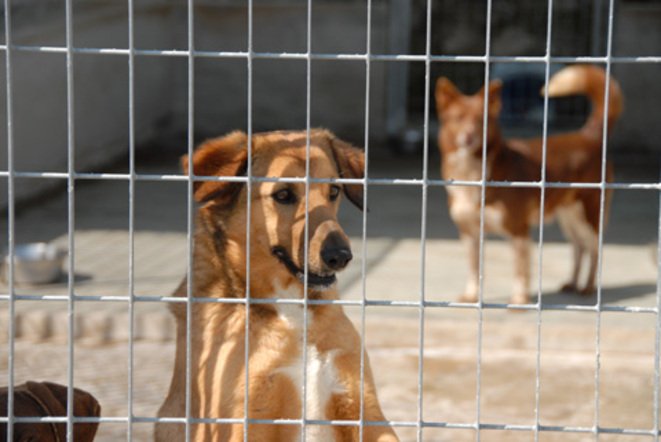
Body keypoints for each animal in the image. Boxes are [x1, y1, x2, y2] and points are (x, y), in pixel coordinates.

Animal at [155, 129, 400, 440]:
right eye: (283, 194)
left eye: (333, 191)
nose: (341, 256)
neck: (291, 309)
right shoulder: (243, 420)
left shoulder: (363, 409)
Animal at [436, 65, 620, 306]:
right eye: (457, 118)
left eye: (481, 121)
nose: (469, 136)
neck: (473, 172)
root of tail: (589, 135)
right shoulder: (469, 232)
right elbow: (474, 267)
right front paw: (471, 296)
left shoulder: (518, 230)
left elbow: (520, 269)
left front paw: (519, 300)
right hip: (568, 215)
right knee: (578, 247)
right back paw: (572, 283)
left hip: (589, 214)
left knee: (594, 249)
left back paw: (588, 287)